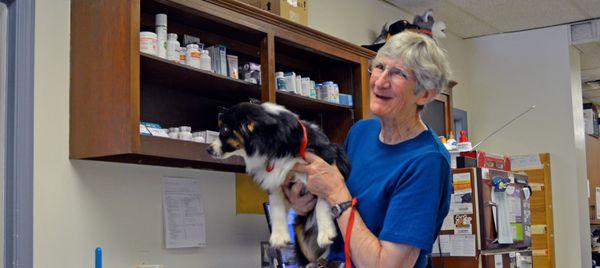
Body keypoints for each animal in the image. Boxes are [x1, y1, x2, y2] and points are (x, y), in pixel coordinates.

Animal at [206, 101, 350, 262]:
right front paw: (279, 237)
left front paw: (325, 233)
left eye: (225, 129)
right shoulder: (276, 181)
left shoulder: (324, 169)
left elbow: (321, 202)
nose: (208, 150)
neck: (276, 147)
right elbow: (276, 207)